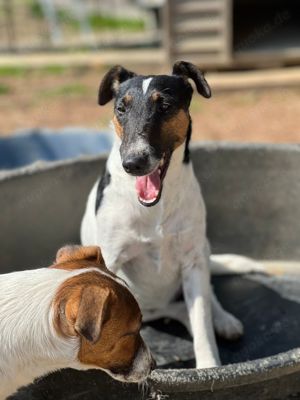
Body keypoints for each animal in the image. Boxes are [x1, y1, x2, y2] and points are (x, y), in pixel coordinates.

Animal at [81, 61, 262, 368]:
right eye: (121, 108)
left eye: (164, 105)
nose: (133, 163)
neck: (154, 206)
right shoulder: (111, 262)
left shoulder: (192, 260)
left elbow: (202, 323)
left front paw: (209, 368)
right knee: (175, 310)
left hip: (201, 252)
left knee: (203, 300)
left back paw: (223, 319)